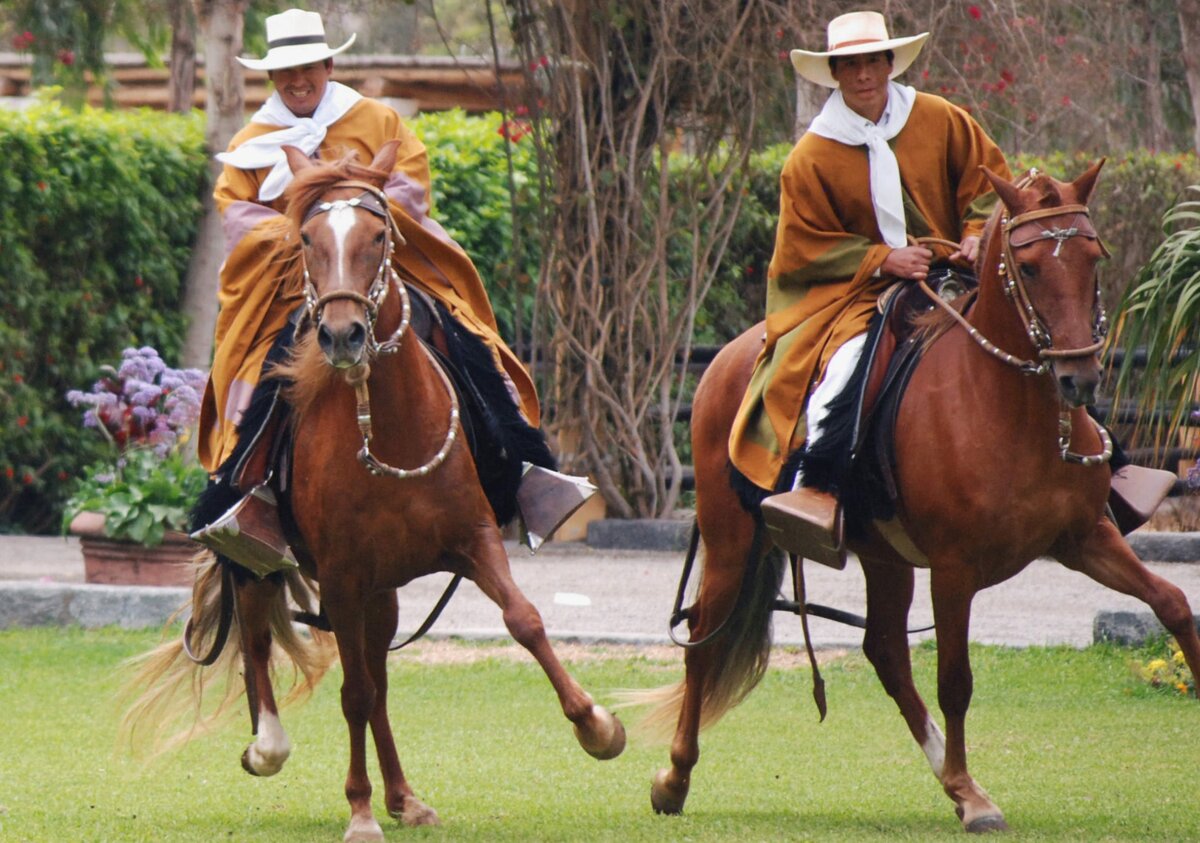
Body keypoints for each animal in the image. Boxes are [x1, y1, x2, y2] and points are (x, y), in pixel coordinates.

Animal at [126, 141, 624, 840]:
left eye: (379, 234)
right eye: (307, 239)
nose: (341, 335)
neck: (389, 427)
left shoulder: (472, 540)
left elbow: (523, 621)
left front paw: (596, 725)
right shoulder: (339, 573)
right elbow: (353, 691)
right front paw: (358, 810)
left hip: (382, 588)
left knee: (379, 674)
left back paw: (403, 795)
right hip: (272, 558)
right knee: (261, 635)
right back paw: (270, 745)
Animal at [638, 163, 1200, 830]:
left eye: (1093, 257)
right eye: (1029, 266)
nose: (1078, 378)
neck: (1009, 411)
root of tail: (729, 356)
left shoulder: (1086, 538)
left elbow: (1172, 604)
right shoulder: (954, 570)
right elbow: (955, 679)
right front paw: (974, 800)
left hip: (884, 556)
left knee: (883, 651)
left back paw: (951, 780)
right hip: (731, 538)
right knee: (705, 640)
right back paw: (675, 778)